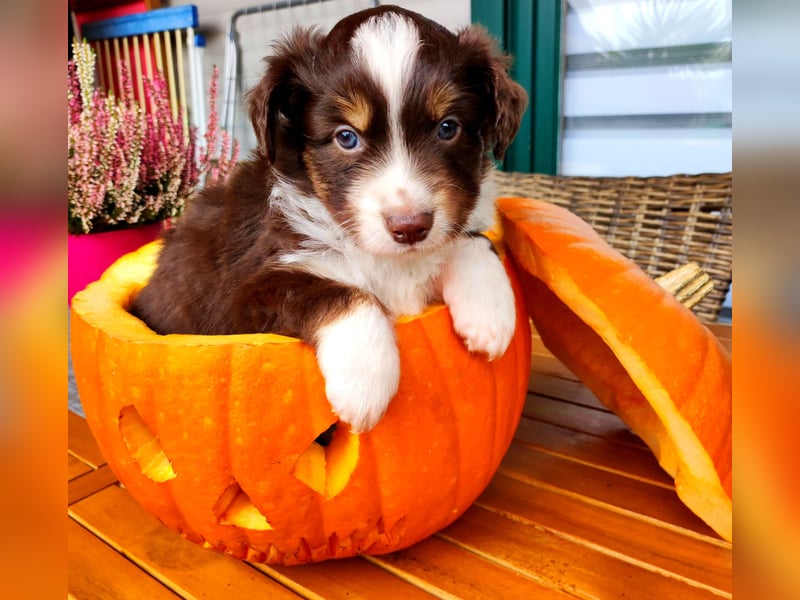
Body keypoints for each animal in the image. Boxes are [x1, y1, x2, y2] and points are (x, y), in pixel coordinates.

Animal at [132, 7, 528, 434]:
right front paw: (365, 384)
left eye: (448, 127)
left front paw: (490, 314)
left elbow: (473, 240)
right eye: (346, 137)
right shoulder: (243, 295)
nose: (410, 227)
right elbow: (339, 292)